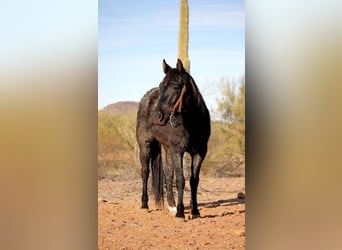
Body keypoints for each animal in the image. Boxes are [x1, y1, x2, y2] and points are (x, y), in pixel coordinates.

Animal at [137, 59, 211, 218]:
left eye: (176, 86)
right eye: (161, 86)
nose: (158, 116)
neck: (193, 122)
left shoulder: (199, 152)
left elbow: (193, 180)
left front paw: (195, 211)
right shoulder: (178, 150)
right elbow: (180, 179)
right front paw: (181, 213)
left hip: (167, 148)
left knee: (168, 173)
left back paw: (171, 206)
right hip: (145, 145)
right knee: (145, 172)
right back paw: (145, 205)